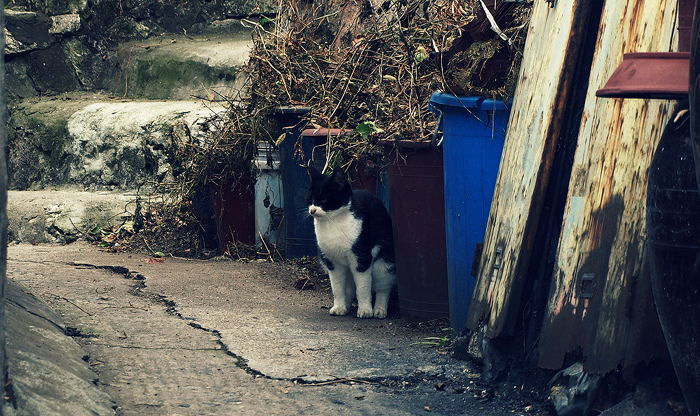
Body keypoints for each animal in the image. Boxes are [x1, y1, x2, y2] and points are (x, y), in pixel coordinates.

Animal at [308, 164, 396, 316]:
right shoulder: (332, 263)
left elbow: (363, 288)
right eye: (311, 200)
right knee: (349, 288)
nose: (312, 210)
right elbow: (337, 289)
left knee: (383, 288)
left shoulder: (361, 259)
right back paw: (346, 307)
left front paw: (365, 310)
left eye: (324, 199)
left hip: (383, 264)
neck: (332, 222)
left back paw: (379, 310)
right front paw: (339, 307)